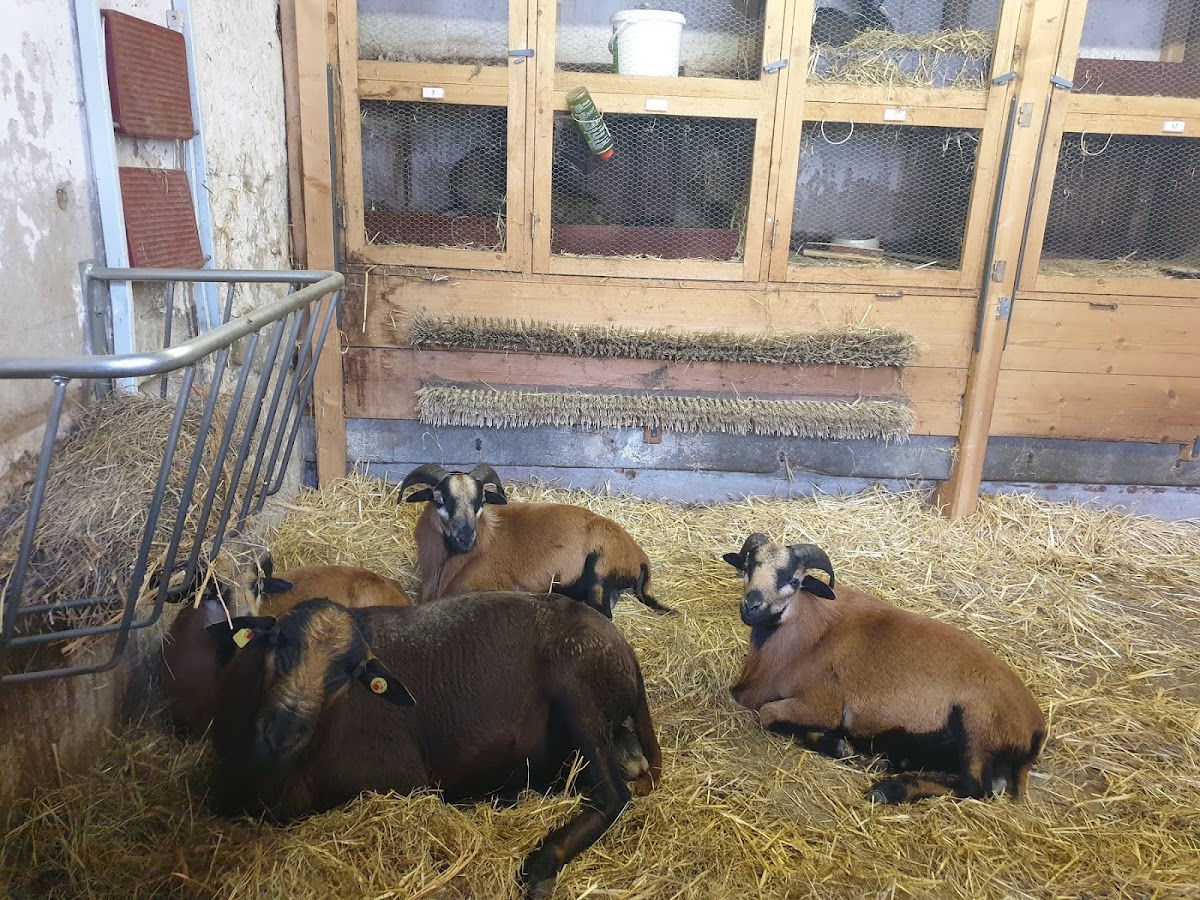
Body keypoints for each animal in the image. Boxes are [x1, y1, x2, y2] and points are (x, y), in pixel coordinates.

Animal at [206, 591, 662, 900]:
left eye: (348, 673)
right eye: (277, 642)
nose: (283, 729)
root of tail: (625, 651)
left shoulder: (399, 780)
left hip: (577, 686)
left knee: (612, 794)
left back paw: (542, 865)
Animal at [723, 534, 1046, 804]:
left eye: (793, 579)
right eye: (747, 567)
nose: (751, 606)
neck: (808, 637)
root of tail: (1036, 726)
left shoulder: (823, 705)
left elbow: (768, 714)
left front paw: (837, 745)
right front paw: (841, 746)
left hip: (978, 725)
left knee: (974, 787)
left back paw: (889, 789)